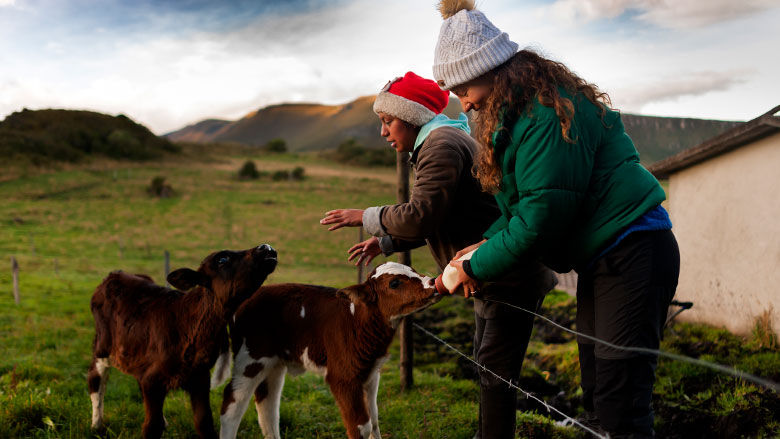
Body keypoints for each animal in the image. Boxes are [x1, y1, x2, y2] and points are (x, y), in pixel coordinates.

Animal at [87, 244, 278, 439]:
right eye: (222, 259)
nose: (266, 247)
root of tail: (115, 274)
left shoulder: (199, 377)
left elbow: (204, 422)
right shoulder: (153, 379)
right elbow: (152, 426)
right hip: (103, 346)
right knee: (95, 378)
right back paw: (97, 425)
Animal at [219, 262, 442, 439]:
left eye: (413, 270)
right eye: (394, 283)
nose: (432, 282)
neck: (356, 320)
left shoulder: (371, 372)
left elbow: (375, 421)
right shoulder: (343, 376)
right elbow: (361, 425)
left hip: (274, 362)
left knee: (268, 404)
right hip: (250, 358)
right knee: (233, 403)